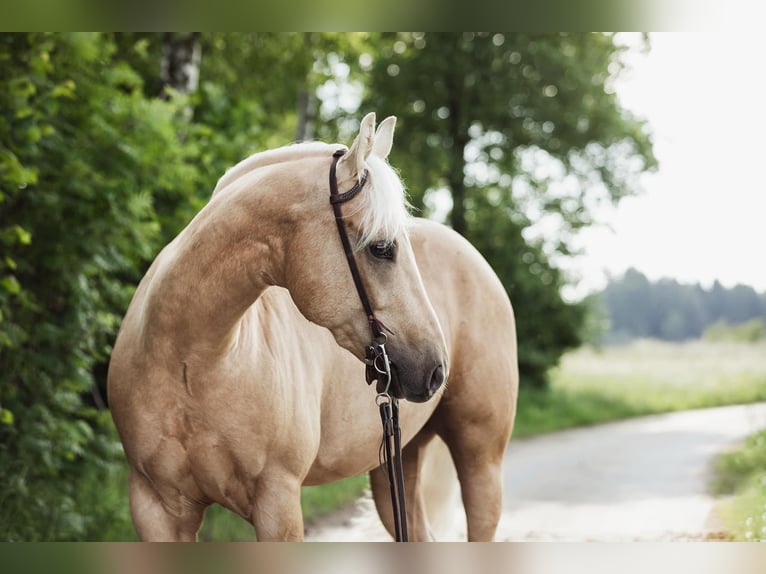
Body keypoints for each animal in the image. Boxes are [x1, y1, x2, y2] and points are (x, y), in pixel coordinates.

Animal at [108, 113, 520, 544]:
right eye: (382, 248)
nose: (436, 369)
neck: (192, 362)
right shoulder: (155, 508)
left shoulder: (278, 503)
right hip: (398, 465)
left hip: (480, 456)